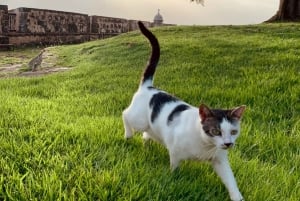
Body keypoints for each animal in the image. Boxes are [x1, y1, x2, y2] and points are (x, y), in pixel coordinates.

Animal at [122, 21, 246, 200]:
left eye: (234, 132)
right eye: (216, 131)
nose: (228, 143)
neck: (205, 144)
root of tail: (149, 86)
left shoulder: (220, 160)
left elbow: (231, 180)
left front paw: (237, 197)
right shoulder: (175, 152)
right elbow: (174, 168)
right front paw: (175, 181)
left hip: (151, 127)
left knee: (146, 133)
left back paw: (145, 143)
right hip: (139, 120)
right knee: (125, 114)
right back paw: (128, 135)